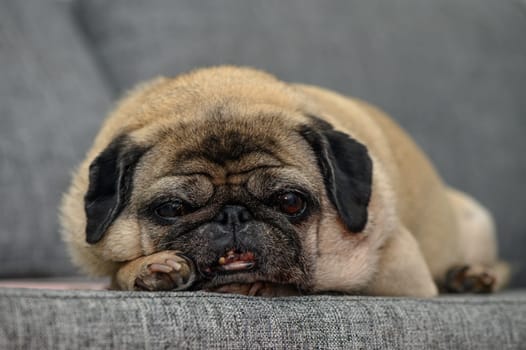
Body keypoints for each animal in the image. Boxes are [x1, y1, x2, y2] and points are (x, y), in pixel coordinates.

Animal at [59, 65, 510, 296]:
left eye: (291, 202)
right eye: (172, 209)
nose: (233, 215)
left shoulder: (402, 276)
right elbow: (116, 272)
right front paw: (148, 267)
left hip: (476, 220)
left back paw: (468, 276)